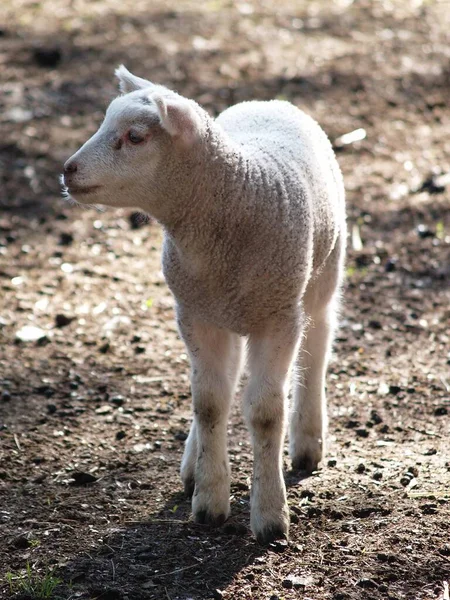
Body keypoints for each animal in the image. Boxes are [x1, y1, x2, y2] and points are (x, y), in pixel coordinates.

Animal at [61, 65, 346, 544]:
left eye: (135, 136)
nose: (68, 170)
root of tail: (270, 101)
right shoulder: (195, 314)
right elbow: (209, 402)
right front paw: (210, 502)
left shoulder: (279, 317)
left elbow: (265, 413)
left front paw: (270, 516)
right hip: (213, 309)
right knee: (223, 382)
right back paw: (194, 464)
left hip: (320, 277)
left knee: (318, 344)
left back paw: (307, 441)